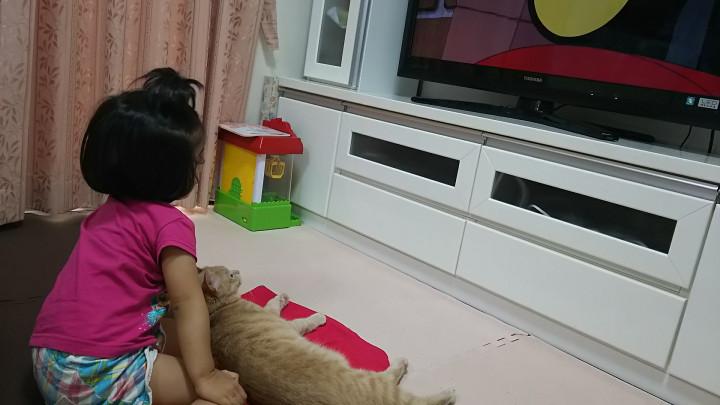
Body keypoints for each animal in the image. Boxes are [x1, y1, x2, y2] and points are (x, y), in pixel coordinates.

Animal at [200, 266, 457, 405]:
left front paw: (283, 296)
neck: (217, 311)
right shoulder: (280, 320)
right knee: (403, 389)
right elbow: (296, 316)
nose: (237, 271)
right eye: (230, 276)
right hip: (373, 383)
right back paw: (444, 389)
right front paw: (318, 316)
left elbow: (273, 301)